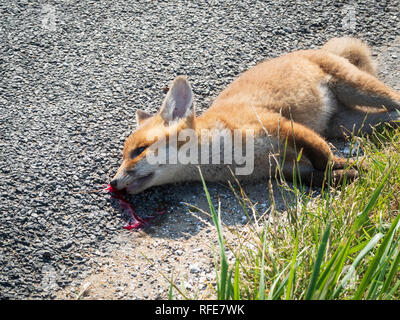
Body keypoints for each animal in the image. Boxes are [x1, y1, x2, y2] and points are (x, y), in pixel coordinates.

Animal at [110, 37, 400, 192]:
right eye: (123, 156)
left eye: (139, 151)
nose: (112, 182)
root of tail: (320, 49)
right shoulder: (283, 168)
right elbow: (320, 177)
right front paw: (349, 173)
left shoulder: (281, 125)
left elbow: (324, 155)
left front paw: (349, 165)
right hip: (349, 124)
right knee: (392, 117)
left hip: (360, 90)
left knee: (395, 101)